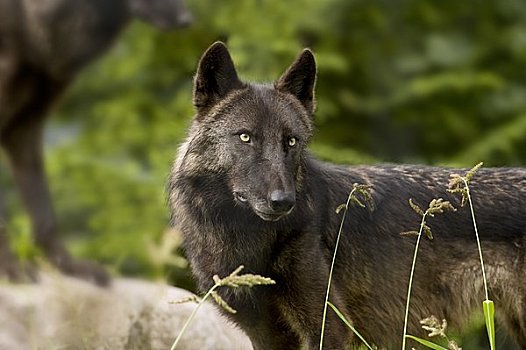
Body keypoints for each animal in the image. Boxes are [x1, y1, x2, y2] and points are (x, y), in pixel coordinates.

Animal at [170, 42, 526, 348]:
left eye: (291, 141)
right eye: (245, 137)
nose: (283, 201)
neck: (247, 241)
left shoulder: (330, 326)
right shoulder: (267, 335)